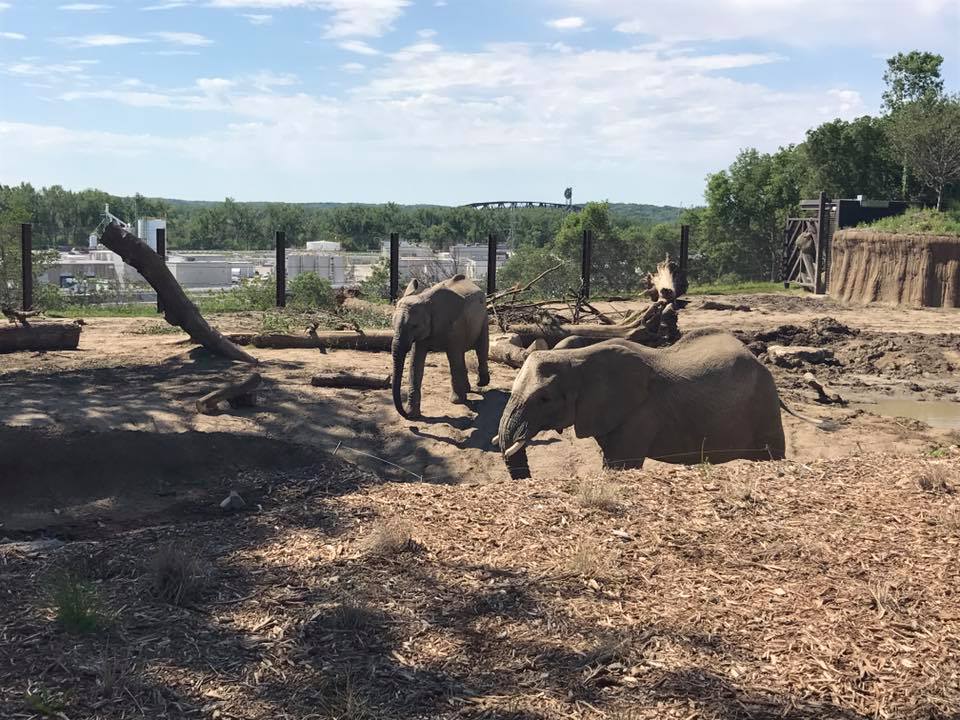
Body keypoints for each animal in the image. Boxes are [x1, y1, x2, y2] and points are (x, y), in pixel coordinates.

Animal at [391, 274, 490, 419]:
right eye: (392, 324)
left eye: (414, 326)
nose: (405, 414)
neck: (425, 300)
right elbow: (415, 363)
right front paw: (413, 414)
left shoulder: (455, 327)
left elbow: (454, 359)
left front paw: (457, 401)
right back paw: (467, 389)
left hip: (484, 317)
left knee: (481, 349)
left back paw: (481, 383)